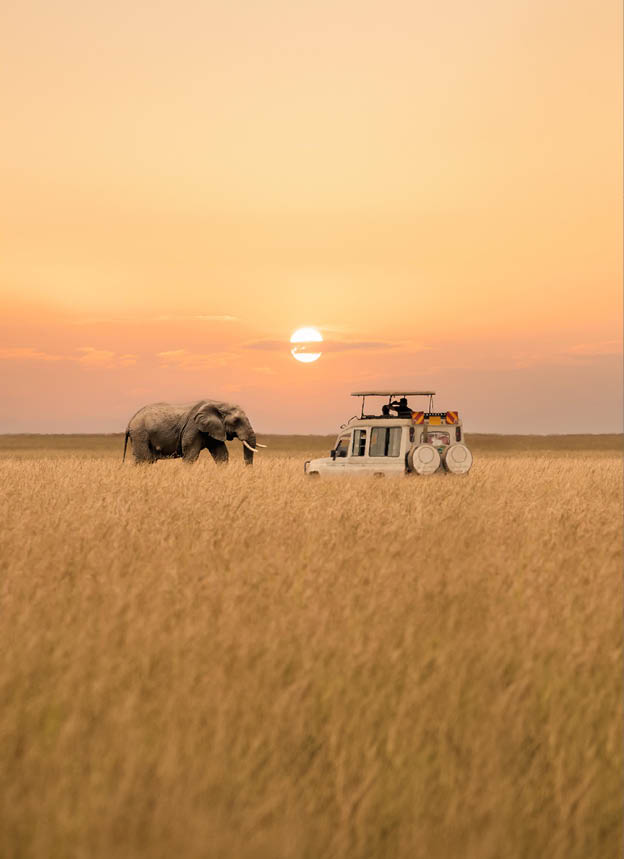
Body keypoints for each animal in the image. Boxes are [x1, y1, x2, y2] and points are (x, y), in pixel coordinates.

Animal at [122, 400, 265, 465]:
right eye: (236, 420)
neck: (217, 404)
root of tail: (130, 421)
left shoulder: (213, 429)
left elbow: (221, 455)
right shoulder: (193, 428)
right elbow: (191, 455)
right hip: (140, 434)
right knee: (144, 460)